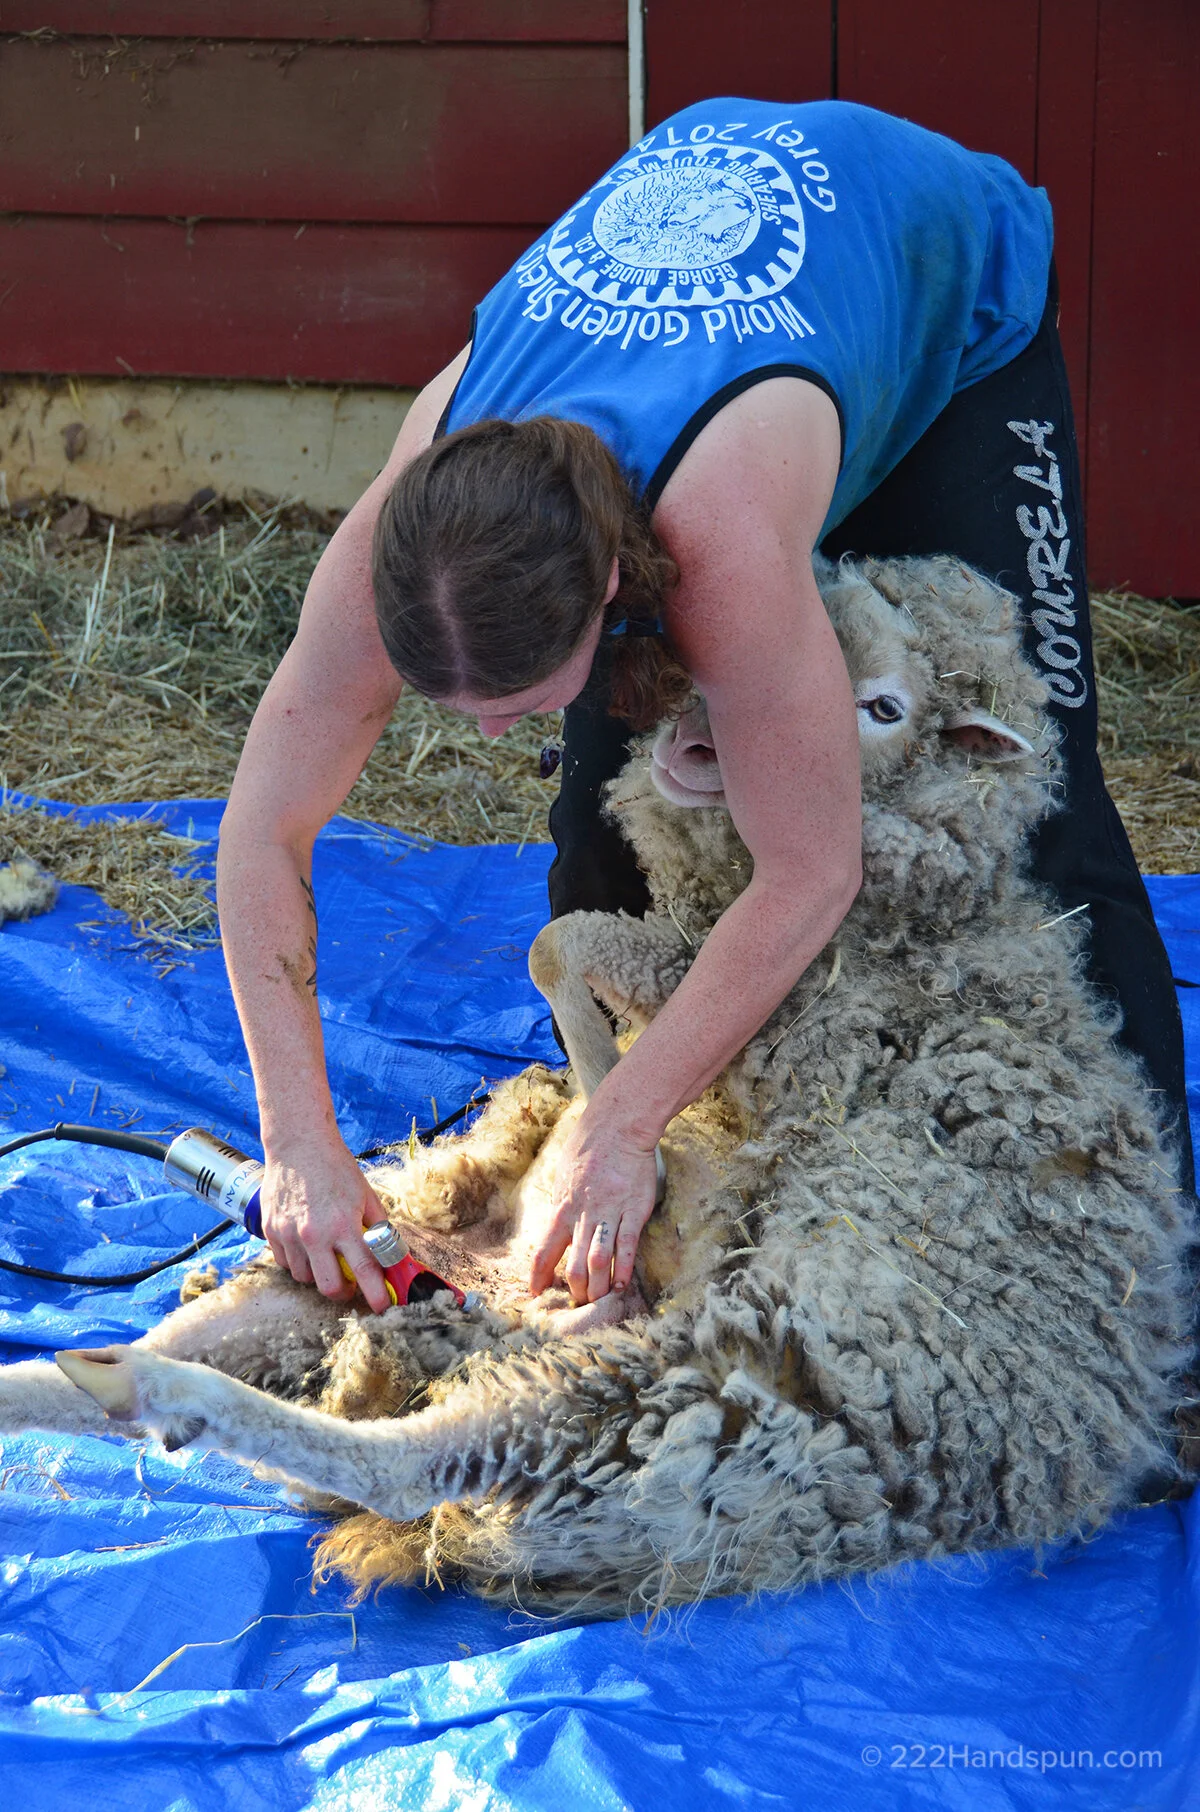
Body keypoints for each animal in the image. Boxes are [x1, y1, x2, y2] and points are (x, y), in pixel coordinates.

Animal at [0, 553, 1192, 1619]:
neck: (928, 906)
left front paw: (608, 1105)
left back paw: (169, 1396)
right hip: (352, 1278)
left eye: (884, 707)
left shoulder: (781, 1005)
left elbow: (564, 942)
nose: (707, 721)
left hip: (696, 1396)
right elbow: (560, 945)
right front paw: (604, 1098)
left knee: (407, 1462)